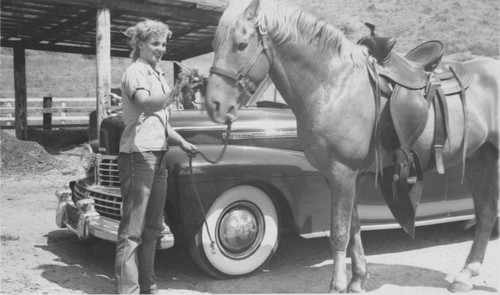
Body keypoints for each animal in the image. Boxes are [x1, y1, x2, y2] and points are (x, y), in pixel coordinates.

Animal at [202, 0, 496, 292]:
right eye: (215, 45)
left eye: (241, 44)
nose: (215, 105)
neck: (332, 86)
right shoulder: (344, 176)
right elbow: (354, 228)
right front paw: (357, 280)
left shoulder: (341, 172)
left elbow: (339, 232)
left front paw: (338, 285)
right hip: (481, 158)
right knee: (486, 214)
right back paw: (465, 275)